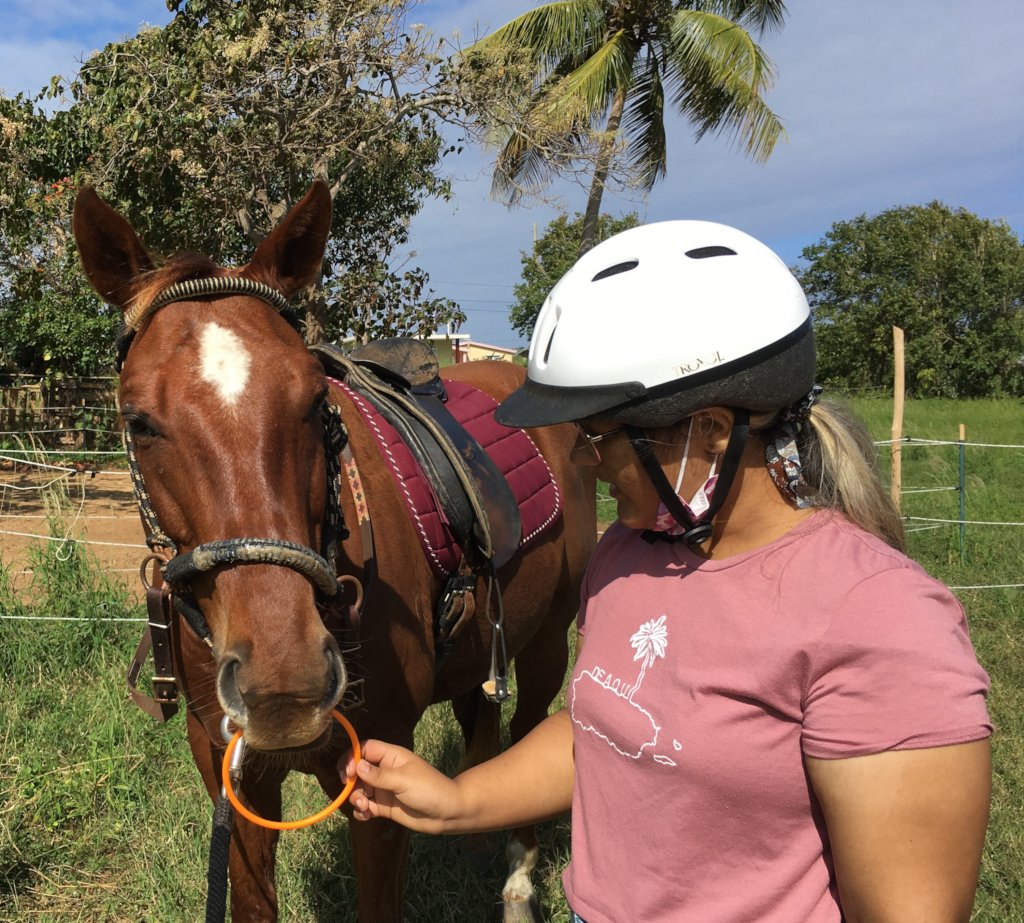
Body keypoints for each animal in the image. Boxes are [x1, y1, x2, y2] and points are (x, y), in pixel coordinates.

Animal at [72, 180, 596, 922]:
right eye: (138, 421)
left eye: (316, 398)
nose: (284, 684)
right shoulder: (232, 776)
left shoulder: (380, 781)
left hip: (550, 636)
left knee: (529, 724)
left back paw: (518, 879)